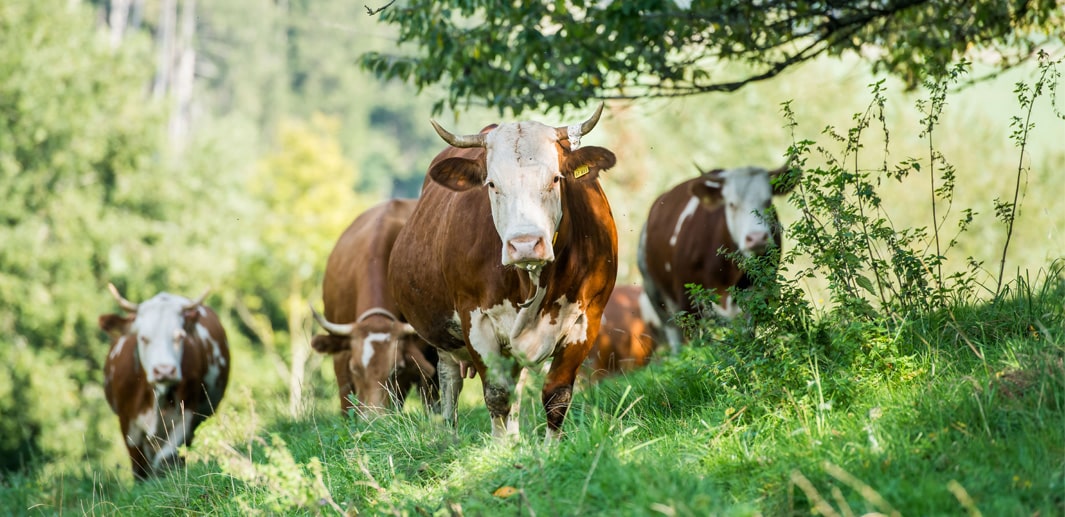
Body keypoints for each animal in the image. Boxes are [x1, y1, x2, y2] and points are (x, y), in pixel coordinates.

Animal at [98, 283, 229, 480]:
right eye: (143, 338)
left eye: (180, 336)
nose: (164, 370)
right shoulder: (127, 423)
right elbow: (140, 469)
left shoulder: (186, 416)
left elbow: (165, 458)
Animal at [388, 103, 618, 440]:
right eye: (492, 184)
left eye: (555, 179)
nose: (525, 244)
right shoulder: (475, 319)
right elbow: (496, 395)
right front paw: (500, 449)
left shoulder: (587, 317)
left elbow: (556, 395)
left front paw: (549, 447)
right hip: (442, 337)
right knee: (449, 381)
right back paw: (450, 438)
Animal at [637, 162, 798, 351]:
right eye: (731, 204)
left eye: (768, 201)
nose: (757, 238)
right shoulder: (687, 300)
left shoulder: (757, 296)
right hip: (657, 295)